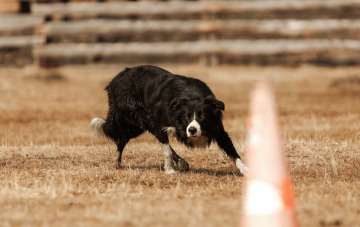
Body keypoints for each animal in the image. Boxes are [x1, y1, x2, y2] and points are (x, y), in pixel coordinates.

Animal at [89, 65, 248, 176]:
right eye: (186, 117)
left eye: (203, 116)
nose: (192, 130)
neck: (191, 95)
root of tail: (116, 79)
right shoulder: (159, 123)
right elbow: (166, 149)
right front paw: (170, 170)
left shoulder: (217, 129)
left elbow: (232, 151)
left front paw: (245, 170)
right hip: (132, 122)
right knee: (121, 139)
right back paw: (116, 162)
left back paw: (182, 163)